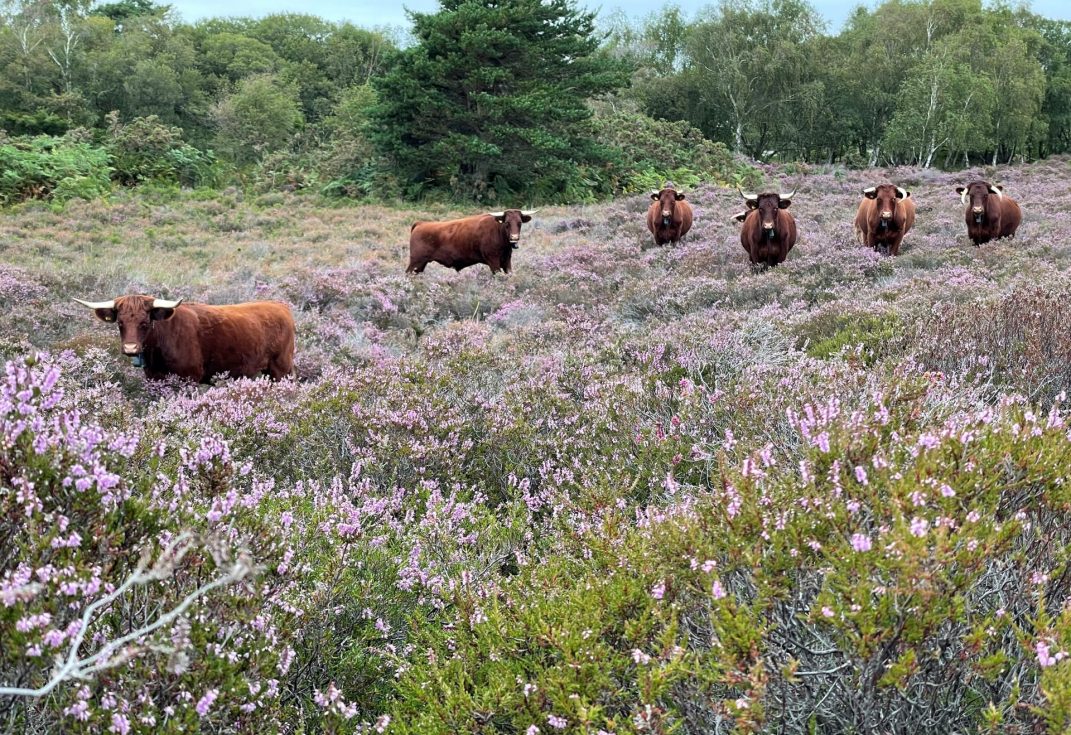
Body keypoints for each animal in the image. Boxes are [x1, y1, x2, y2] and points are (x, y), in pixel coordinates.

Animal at [74, 295, 295, 383]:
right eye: (120, 322)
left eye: (144, 322)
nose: (130, 348)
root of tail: (281, 306)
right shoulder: (154, 377)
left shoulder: (189, 378)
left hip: (281, 369)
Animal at [407, 209, 537, 274]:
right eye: (507, 223)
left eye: (519, 222)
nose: (514, 237)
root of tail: (421, 223)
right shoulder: (493, 261)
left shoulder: (506, 261)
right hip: (416, 261)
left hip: (421, 264)